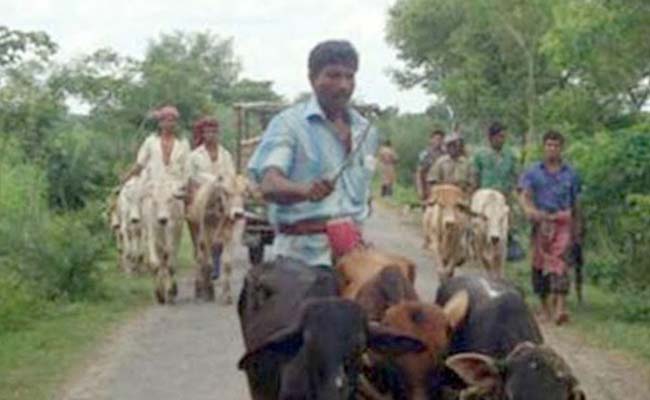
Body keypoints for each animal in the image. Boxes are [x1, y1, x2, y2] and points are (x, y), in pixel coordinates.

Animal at [140, 175, 184, 304]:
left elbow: (170, 264)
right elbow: (155, 264)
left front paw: (171, 291)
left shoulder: (173, 235)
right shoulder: (151, 235)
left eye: (170, 200)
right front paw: (159, 293)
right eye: (155, 202)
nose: (163, 219)